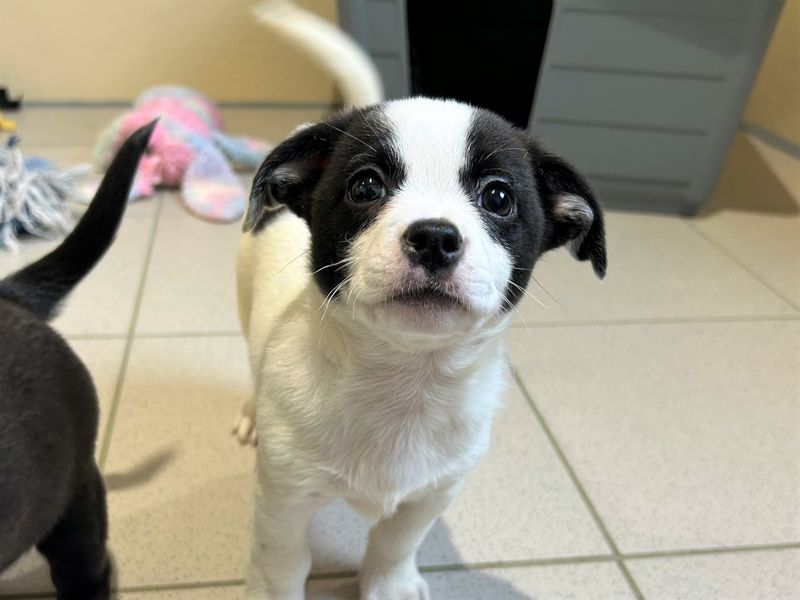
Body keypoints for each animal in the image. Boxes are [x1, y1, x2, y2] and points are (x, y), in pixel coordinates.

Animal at [236, 99, 608, 600]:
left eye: (498, 197)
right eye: (366, 186)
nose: (434, 236)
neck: (404, 383)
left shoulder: (436, 490)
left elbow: (396, 540)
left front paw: (389, 584)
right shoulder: (284, 496)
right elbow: (280, 562)